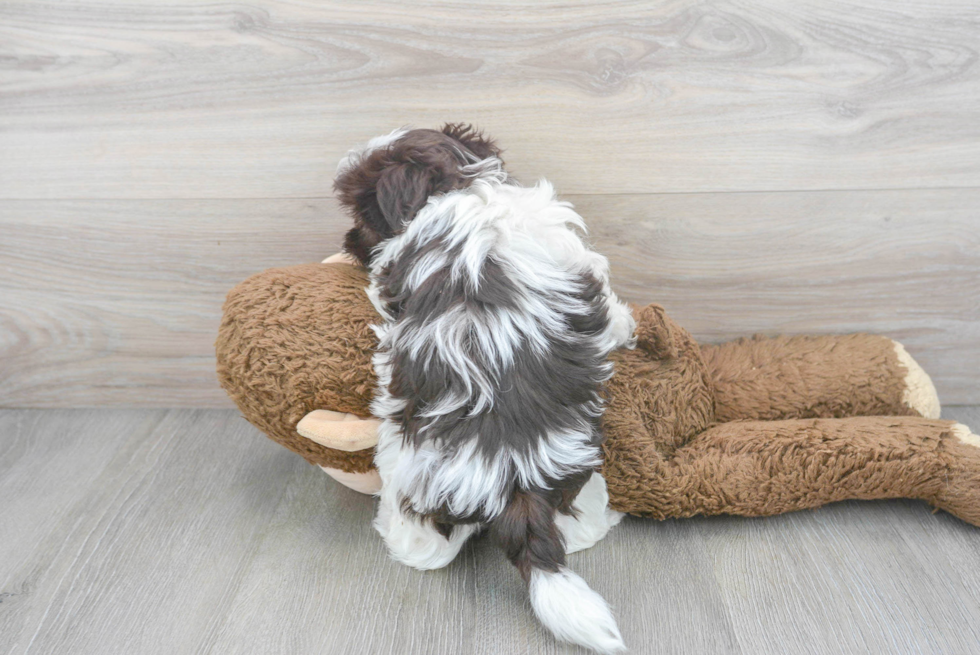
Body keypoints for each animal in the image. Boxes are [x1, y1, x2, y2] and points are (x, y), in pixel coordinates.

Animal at [332, 124, 636, 655]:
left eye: (359, 214)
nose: (347, 241)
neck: (461, 187)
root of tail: (510, 472)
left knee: (428, 548)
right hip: (570, 470)